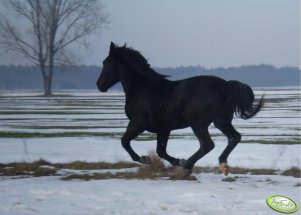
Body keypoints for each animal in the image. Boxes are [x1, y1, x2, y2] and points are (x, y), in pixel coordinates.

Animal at [96, 41, 262, 176]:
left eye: (106, 62)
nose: (99, 85)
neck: (142, 89)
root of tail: (226, 86)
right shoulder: (163, 128)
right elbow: (161, 151)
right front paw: (177, 161)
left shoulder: (138, 123)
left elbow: (124, 141)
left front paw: (145, 159)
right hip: (221, 121)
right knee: (234, 137)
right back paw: (222, 165)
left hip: (198, 123)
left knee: (208, 144)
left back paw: (188, 166)